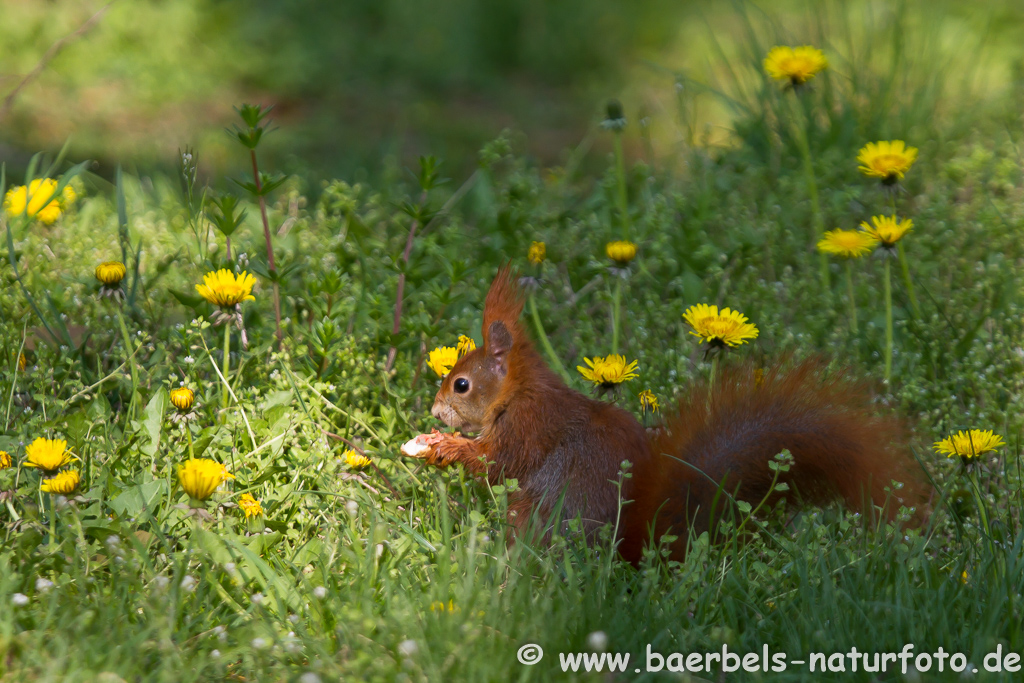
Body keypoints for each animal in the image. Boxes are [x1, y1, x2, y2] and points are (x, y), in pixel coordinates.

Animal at [401, 266, 929, 561]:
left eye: (461, 384)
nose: (435, 409)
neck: (518, 393)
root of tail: (636, 550)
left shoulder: (530, 425)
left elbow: (498, 463)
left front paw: (444, 447)